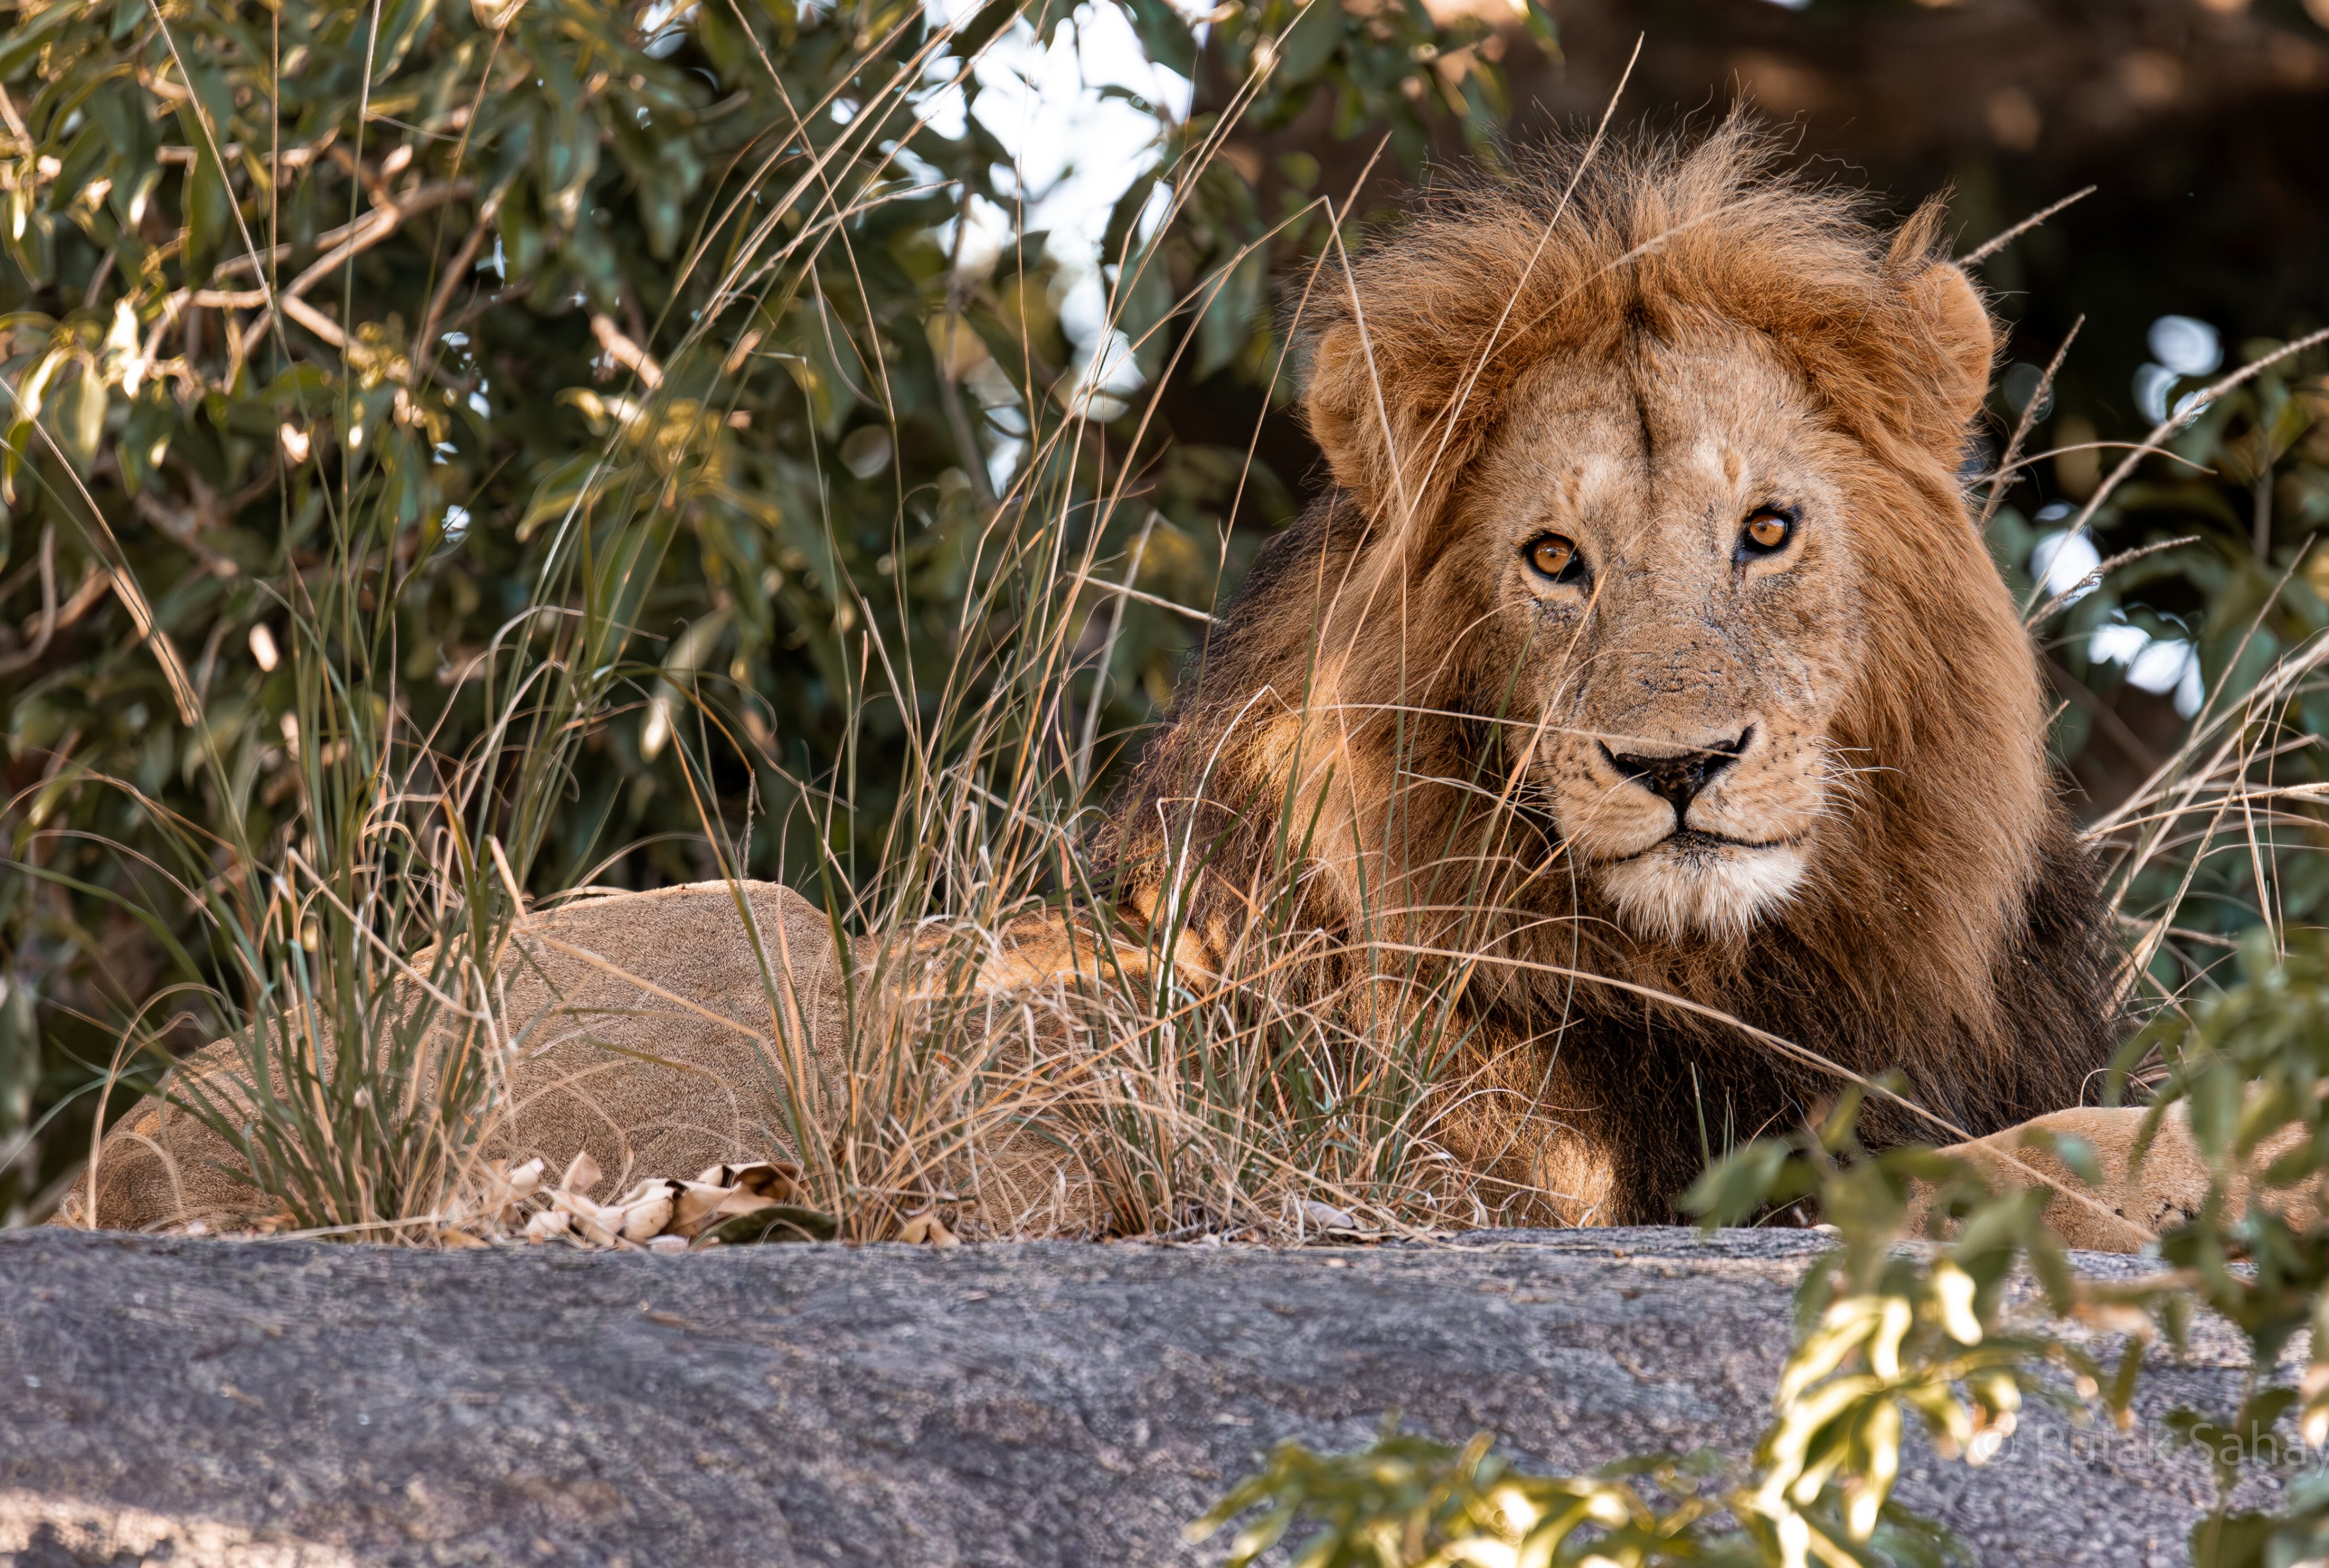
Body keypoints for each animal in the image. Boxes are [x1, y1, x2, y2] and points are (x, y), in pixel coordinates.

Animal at [71, 118, 2178, 1248]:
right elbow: (1979, 1174)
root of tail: (127, 1146)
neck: (1773, 954)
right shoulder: (1539, 1166)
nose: (1679, 765)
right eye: (1551, 561)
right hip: (767, 933)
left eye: (1765, 530)